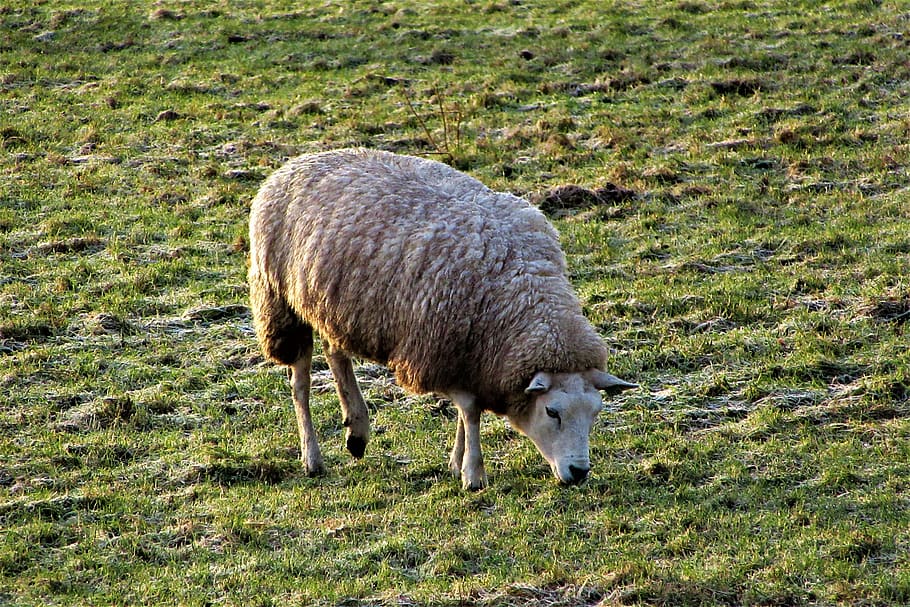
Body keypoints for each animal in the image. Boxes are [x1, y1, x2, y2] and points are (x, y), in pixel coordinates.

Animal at [248, 148, 636, 490]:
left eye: (596, 412)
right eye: (552, 412)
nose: (579, 472)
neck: (522, 294)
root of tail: (296, 162)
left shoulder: (472, 353)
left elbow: (468, 411)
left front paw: (457, 461)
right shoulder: (441, 347)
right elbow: (470, 409)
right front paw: (472, 474)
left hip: (331, 303)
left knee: (335, 351)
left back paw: (356, 430)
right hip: (281, 304)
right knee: (300, 384)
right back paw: (312, 458)